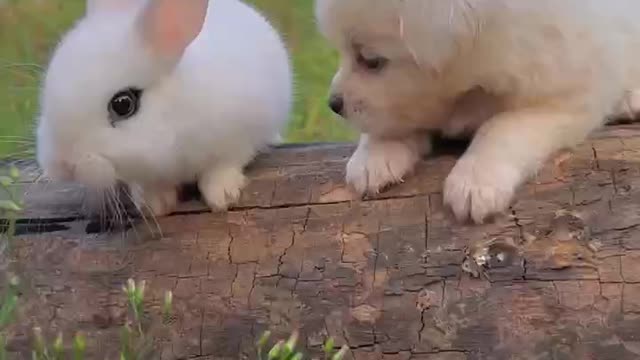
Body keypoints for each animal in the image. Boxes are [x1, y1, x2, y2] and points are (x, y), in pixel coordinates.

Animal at [36, 0, 292, 215]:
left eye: (123, 104)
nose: (63, 165)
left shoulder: (239, 137)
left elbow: (223, 165)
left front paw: (222, 197)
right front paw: (155, 204)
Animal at [316, 0, 640, 222]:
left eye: (371, 60)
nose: (333, 104)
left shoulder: (570, 96)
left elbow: (503, 124)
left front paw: (475, 180)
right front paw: (375, 155)